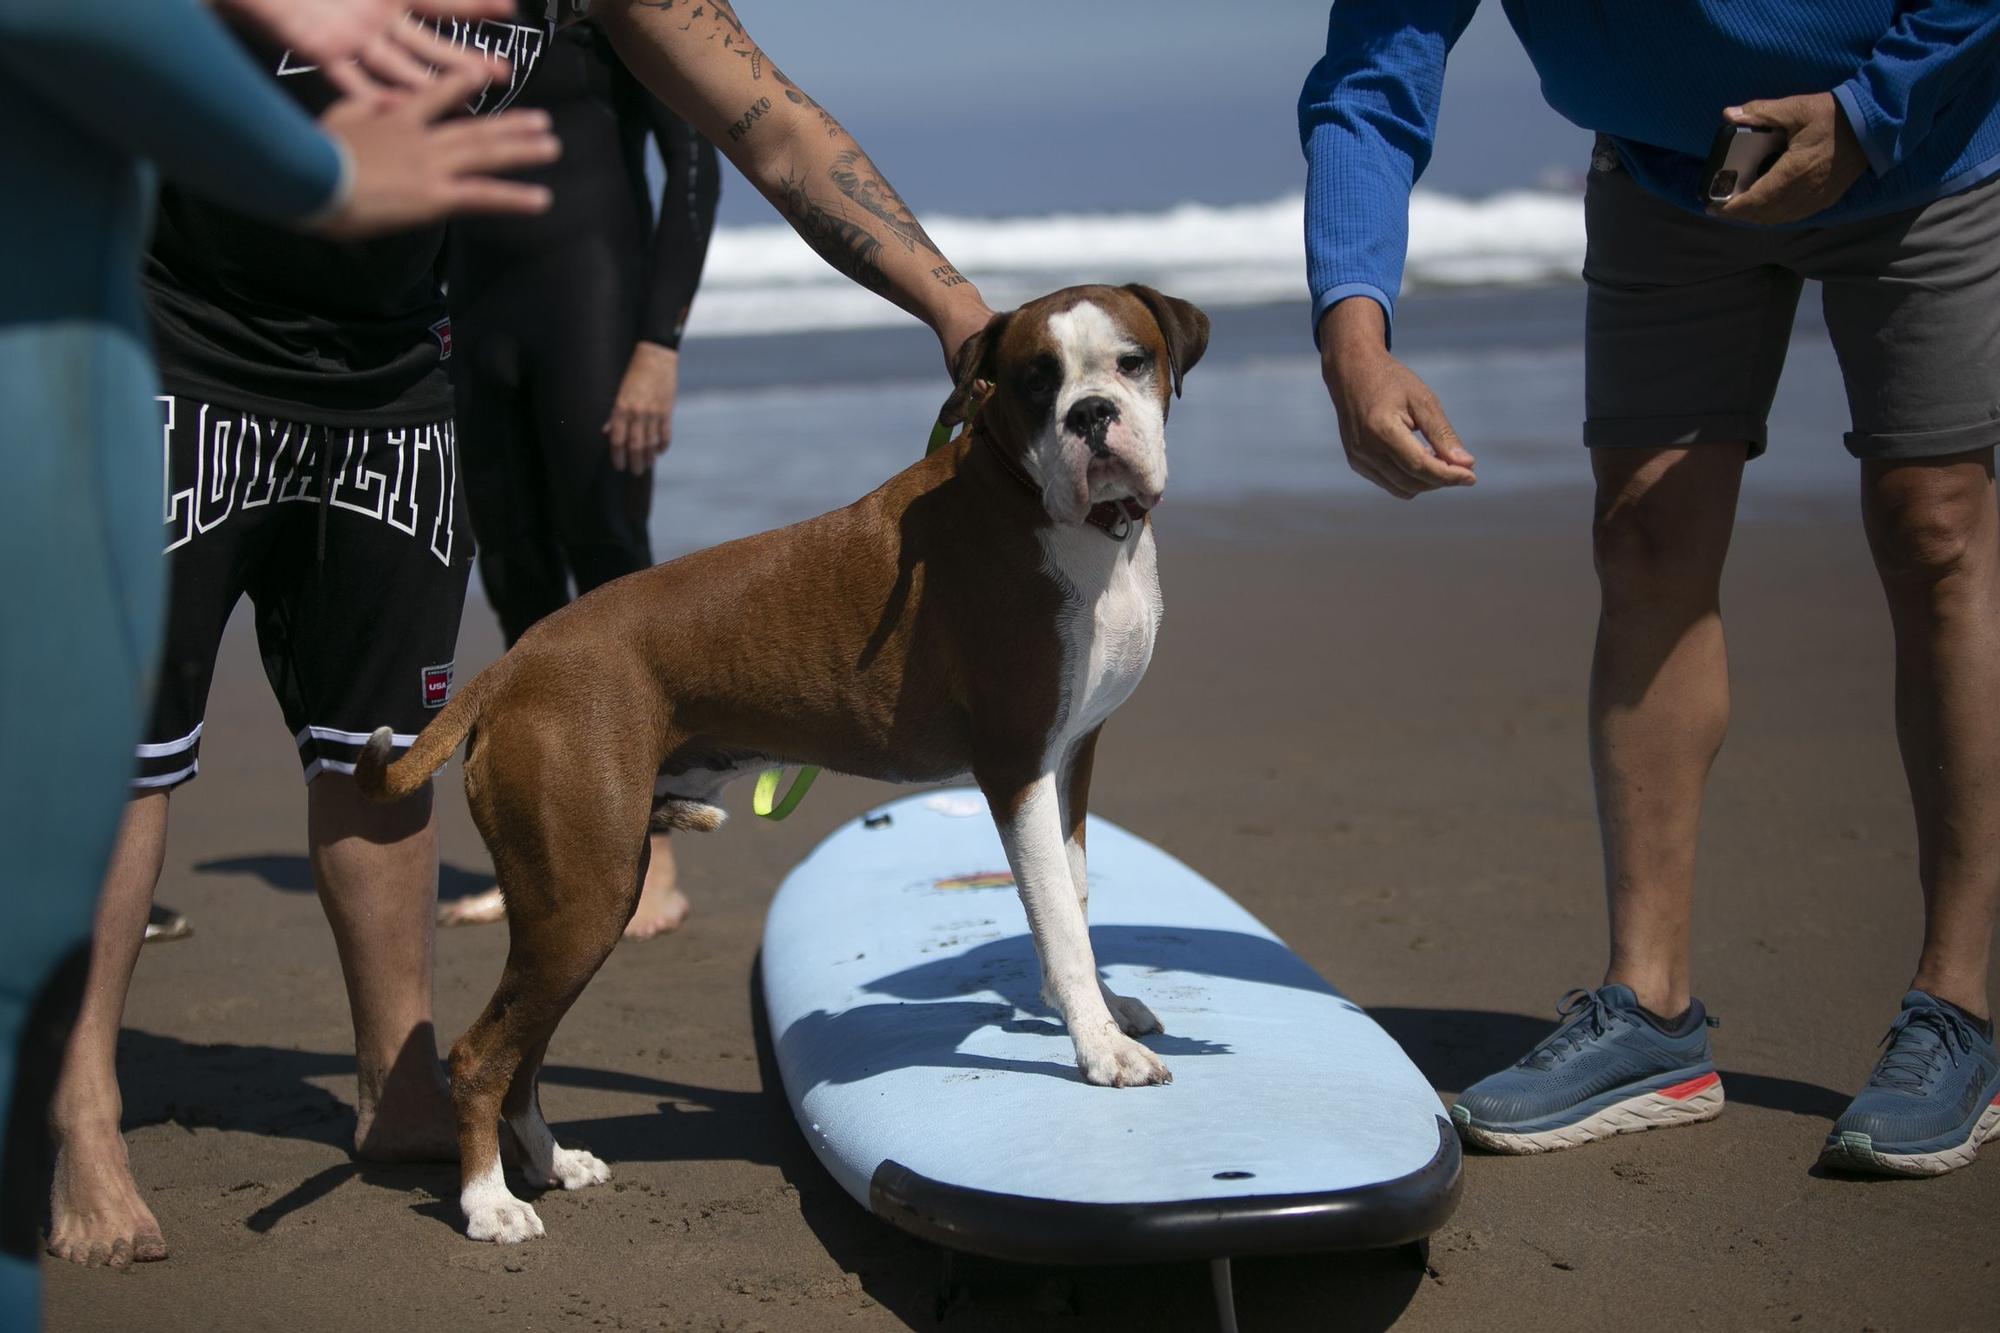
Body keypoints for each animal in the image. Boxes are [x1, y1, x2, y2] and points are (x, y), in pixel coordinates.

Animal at [354, 282, 1200, 1248]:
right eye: (1035, 381)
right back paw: (486, 1201)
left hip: (579, 906)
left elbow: (1079, 892)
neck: (1058, 512)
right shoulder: (1017, 765)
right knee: (480, 1051)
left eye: (1132, 362)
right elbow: (1055, 918)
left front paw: (1106, 1008)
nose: (1091, 414)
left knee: (523, 1051)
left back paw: (549, 1163)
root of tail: (514, 663)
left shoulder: (1072, 762)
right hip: (579, 900)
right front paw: (1101, 1048)